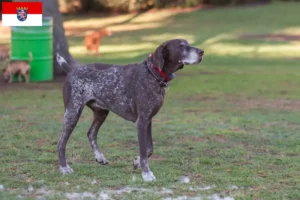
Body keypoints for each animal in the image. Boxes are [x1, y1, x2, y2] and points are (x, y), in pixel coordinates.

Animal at [56, 38, 204, 182]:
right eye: (181, 46)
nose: (202, 52)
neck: (152, 74)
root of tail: (71, 71)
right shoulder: (141, 121)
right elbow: (144, 151)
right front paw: (146, 174)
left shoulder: (148, 120)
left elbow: (149, 149)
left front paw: (137, 162)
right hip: (73, 113)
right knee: (61, 143)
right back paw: (64, 168)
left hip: (101, 112)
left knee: (91, 133)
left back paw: (99, 157)